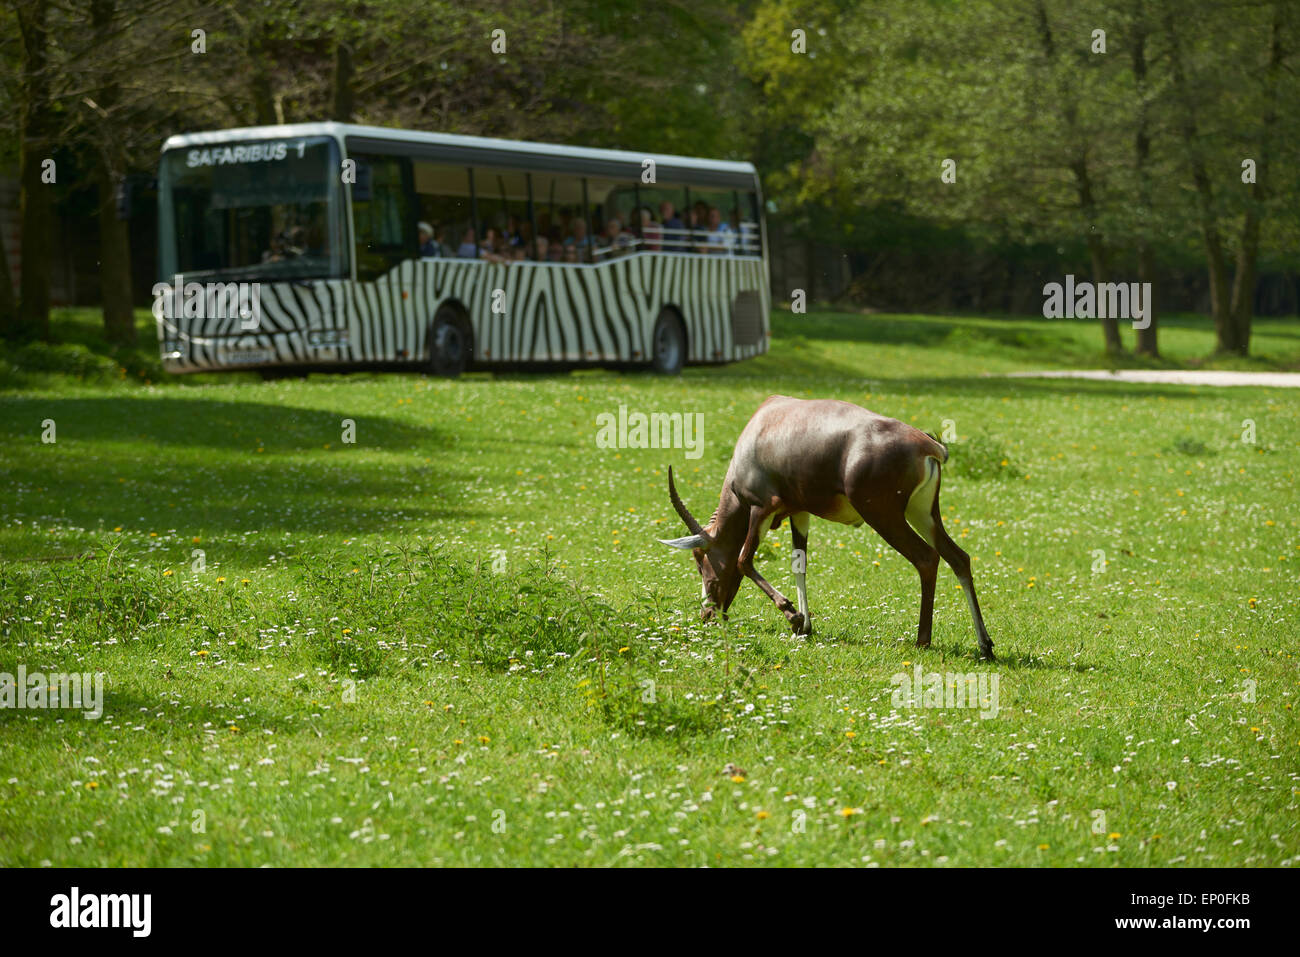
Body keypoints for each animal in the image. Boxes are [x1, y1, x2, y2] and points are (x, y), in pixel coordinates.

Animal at [660, 395, 993, 657]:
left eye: (700, 559)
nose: (708, 614)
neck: (764, 424)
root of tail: (928, 446)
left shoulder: (762, 507)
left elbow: (744, 560)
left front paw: (793, 616)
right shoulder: (799, 512)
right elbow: (799, 565)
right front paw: (805, 626)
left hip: (884, 516)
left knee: (926, 558)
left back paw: (922, 640)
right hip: (923, 513)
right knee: (958, 557)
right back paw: (985, 646)